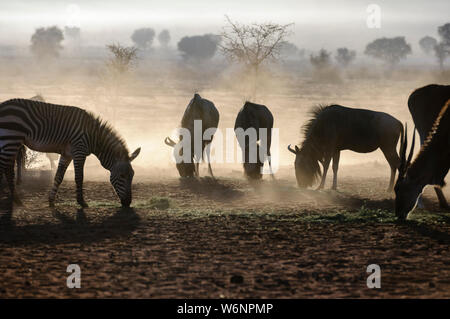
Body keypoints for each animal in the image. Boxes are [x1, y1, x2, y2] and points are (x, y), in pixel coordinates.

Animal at [0, 100, 141, 210]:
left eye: (133, 175)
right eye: (122, 176)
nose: (128, 203)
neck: (93, 137)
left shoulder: (67, 154)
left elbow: (59, 176)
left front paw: (51, 200)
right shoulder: (79, 151)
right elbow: (79, 177)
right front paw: (82, 202)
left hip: (11, 142)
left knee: (7, 169)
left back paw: (16, 200)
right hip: (11, 139)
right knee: (6, 169)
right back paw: (16, 200)